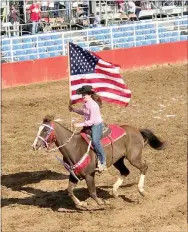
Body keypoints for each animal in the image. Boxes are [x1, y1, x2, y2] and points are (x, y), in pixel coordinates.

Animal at [32, 115, 166, 209]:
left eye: (45, 130)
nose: (34, 146)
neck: (74, 147)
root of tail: (137, 130)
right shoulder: (74, 175)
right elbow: (69, 191)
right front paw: (81, 204)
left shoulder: (89, 175)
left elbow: (92, 192)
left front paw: (103, 203)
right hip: (118, 160)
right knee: (125, 171)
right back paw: (115, 192)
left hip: (134, 157)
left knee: (144, 167)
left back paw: (141, 191)